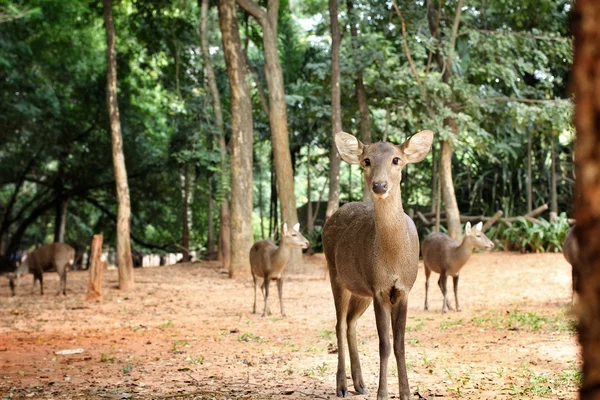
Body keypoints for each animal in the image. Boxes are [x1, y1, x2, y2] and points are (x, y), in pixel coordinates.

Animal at [324, 130, 432, 400]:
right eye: (367, 160)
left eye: (396, 159)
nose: (380, 185)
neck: (392, 260)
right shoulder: (379, 289)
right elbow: (384, 344)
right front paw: (383, 393)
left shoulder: (403, 289)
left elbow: (400, 344)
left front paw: (405, 393)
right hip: (336, 274)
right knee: (339, 324)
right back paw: (342, 386)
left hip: (361, 290)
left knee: (350, 323)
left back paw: (360, 383)